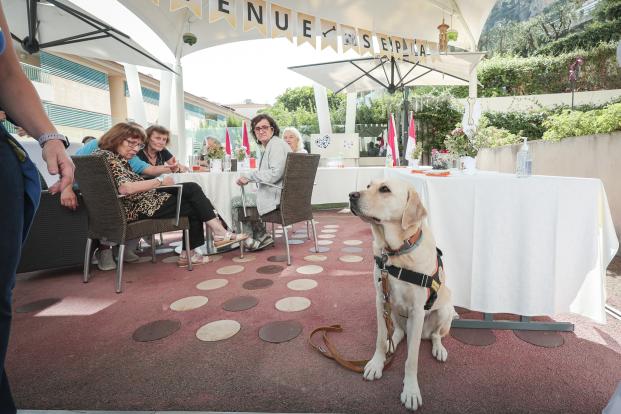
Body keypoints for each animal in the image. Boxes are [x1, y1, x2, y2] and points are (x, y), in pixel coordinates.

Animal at [348, 178, 456, 410]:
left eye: (384, 189)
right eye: (368, 186)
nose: (351, 195)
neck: (396, 253)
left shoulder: (417, 311)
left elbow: (412, 358)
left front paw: (411, 390)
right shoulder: (380, 300)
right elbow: (380, 339)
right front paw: (376, 364)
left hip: (444, 310)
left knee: (435, 335)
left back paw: (439, 349)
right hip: (393, 311)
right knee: (396, 332)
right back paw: (393, 342)